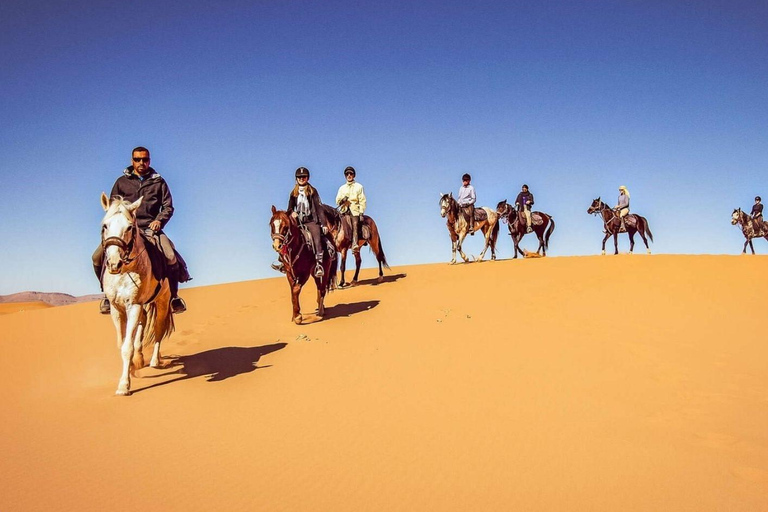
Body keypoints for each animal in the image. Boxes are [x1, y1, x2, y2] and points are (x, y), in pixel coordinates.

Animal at [99, 193, 174, 396]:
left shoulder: (133, 305)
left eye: (129, 227)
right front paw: (133, 366)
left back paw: (155, 360)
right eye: (105, 225)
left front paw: (124, 385)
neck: (126, 270)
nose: (114, 263)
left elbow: (127, 347)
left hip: (162, 302)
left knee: (158, 328)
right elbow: (122, 343)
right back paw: (140, 358)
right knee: (144, 321)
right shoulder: (117, 309)